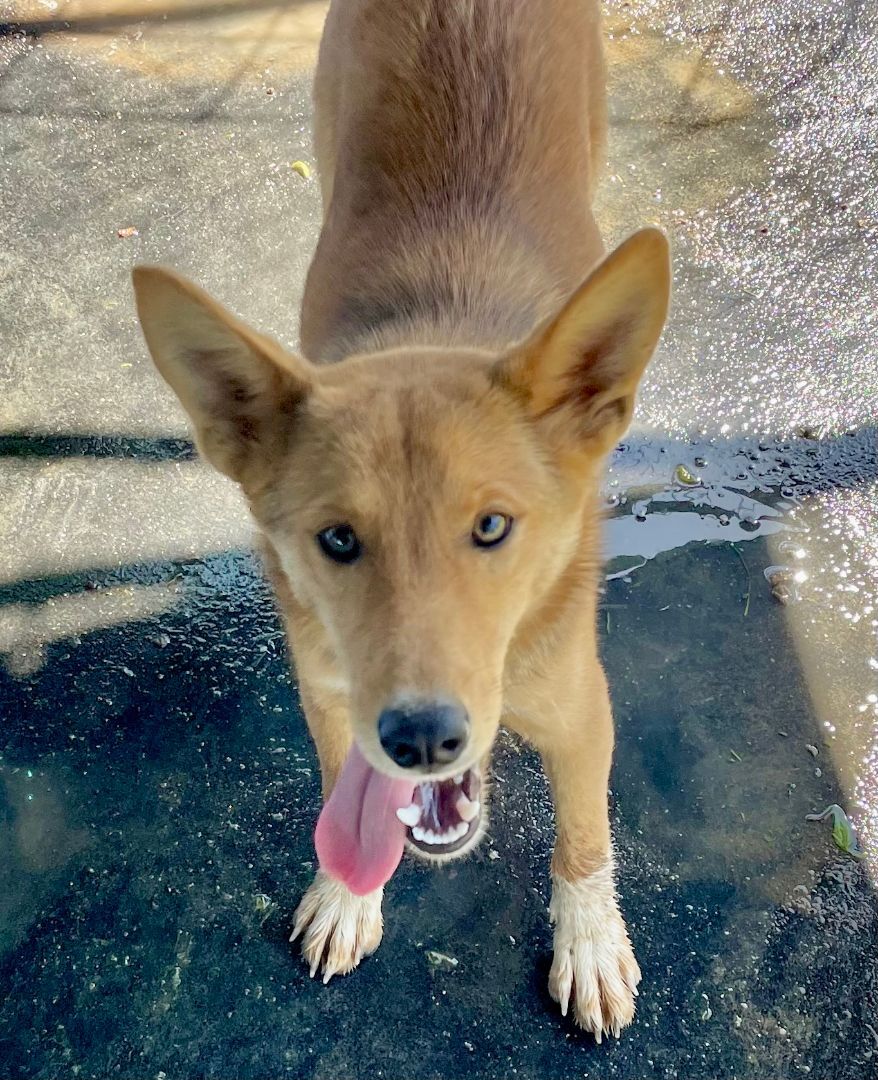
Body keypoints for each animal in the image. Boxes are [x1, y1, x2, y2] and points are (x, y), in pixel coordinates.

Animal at [130, 0, 669, 1041]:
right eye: (338, 540)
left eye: (493, 529)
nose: (421, 740)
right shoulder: (330, 687)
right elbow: (345, 783)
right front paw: (349, 893)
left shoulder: (581, 704)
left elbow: (584, 834)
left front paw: (588, 936)